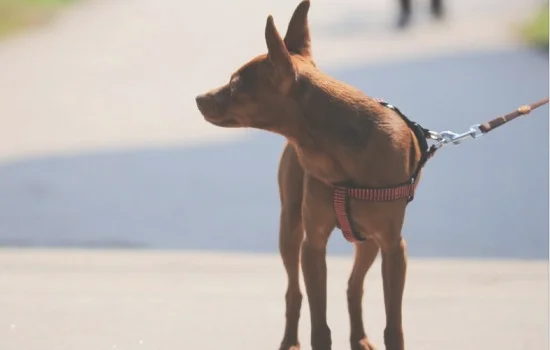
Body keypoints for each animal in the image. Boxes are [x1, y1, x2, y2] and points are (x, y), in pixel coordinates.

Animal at [196, 1, 424, 348]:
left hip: (368, 241)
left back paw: (358, 337)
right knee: (294, 291)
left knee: (354, 285)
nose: (199, 99)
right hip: (290, 230)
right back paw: (290, 340)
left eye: (235, 86)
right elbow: (319, 325)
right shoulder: (313, 245)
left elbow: (393, 326)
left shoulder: (393, 247)